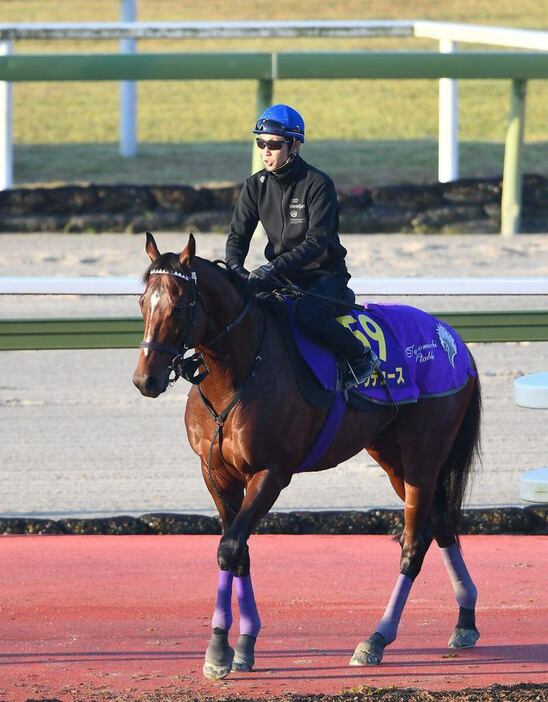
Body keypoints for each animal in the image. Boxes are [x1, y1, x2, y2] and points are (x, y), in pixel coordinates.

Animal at [134, 235, 484, 680]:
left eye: (178, 306)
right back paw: (465, 619)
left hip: (424, 451)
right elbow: (239, 550)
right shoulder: (216, 475)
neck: (240, 370)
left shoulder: (271, 473)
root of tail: (452, 338)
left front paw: (218, 650)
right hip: (393, 456)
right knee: (440, 522)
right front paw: (242, 645)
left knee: (414, 542)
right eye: (143, 302)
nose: (146, 379)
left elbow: (230, 548)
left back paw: (376, 638)